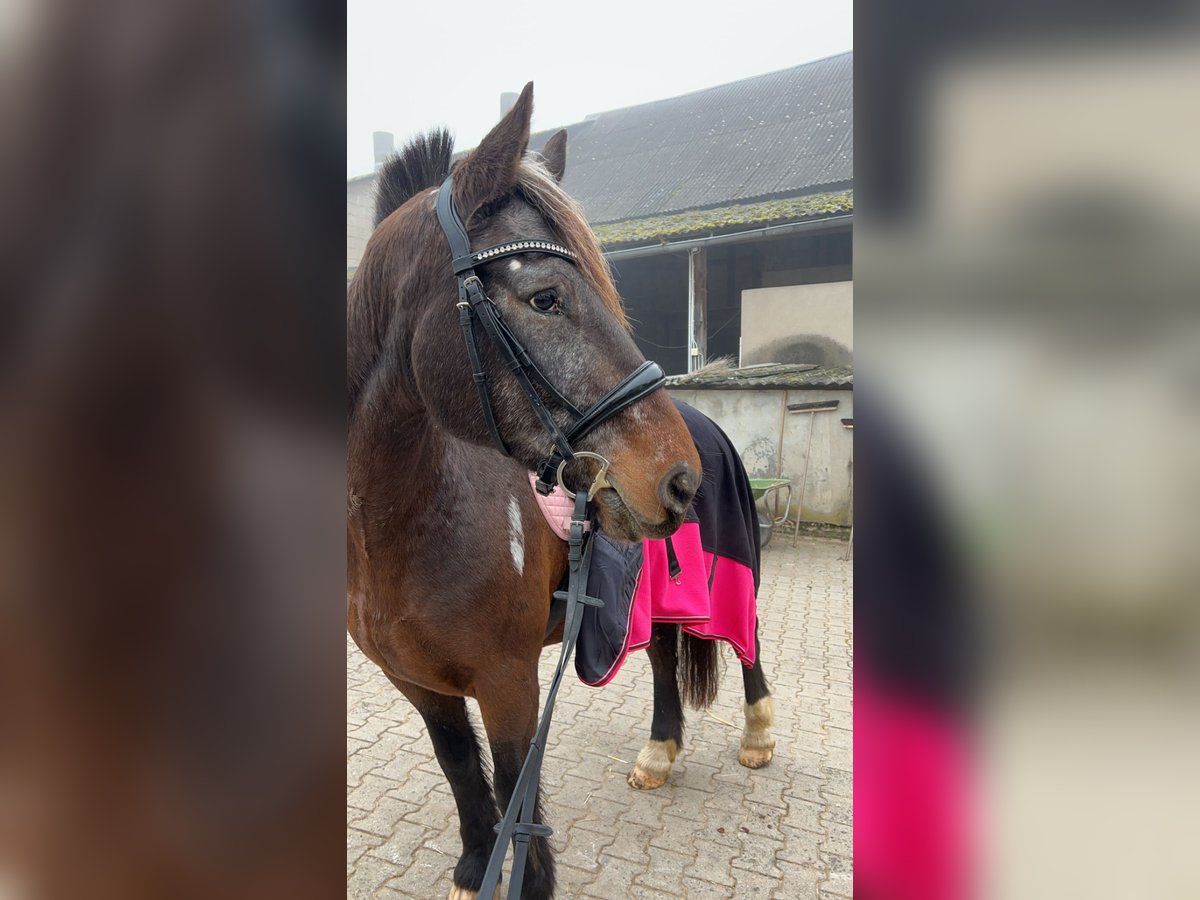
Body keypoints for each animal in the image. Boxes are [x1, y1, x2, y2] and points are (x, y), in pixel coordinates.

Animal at [348, 82, 777, 897]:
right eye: (545, 298)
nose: (677, 476)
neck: (403, 530)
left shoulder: (509, 681)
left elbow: (518, 791)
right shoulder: (419, 684)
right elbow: (462, 769)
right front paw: (474, 863)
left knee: (747, 644)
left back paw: (759, 735)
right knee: (663, 655)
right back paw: (659, 751)